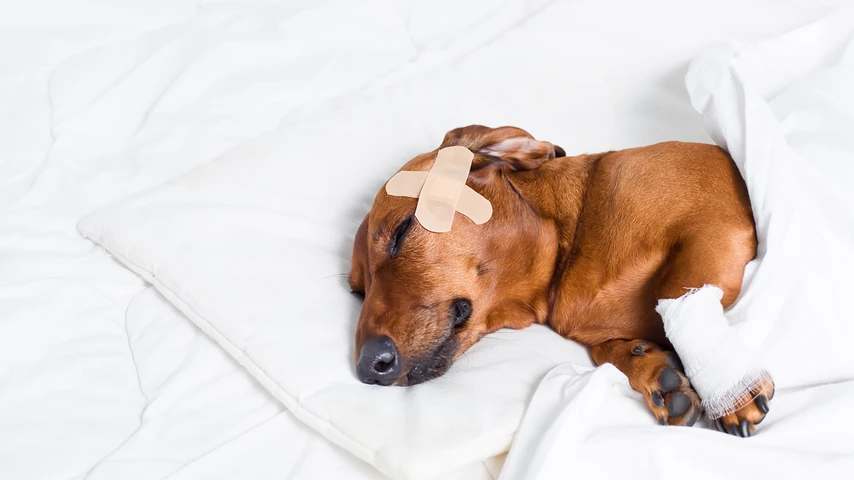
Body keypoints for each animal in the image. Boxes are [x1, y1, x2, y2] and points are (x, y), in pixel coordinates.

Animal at [352, 124, 780, 438]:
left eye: (402, 230)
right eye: (357, 291)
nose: (367, 367)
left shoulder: (716, 226)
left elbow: (674, 293)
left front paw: (732, 390)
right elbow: (606, 351)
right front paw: (651, 369)